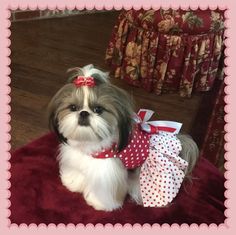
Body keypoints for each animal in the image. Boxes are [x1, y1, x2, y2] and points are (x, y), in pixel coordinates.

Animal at [48, 63, 199, 211]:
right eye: (73, 107)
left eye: (98, 109)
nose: (84, 113)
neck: (90, 143)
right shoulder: (77, 159)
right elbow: (78, 171)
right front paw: (72, 183)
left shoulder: (107, 173)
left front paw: (99, 203)